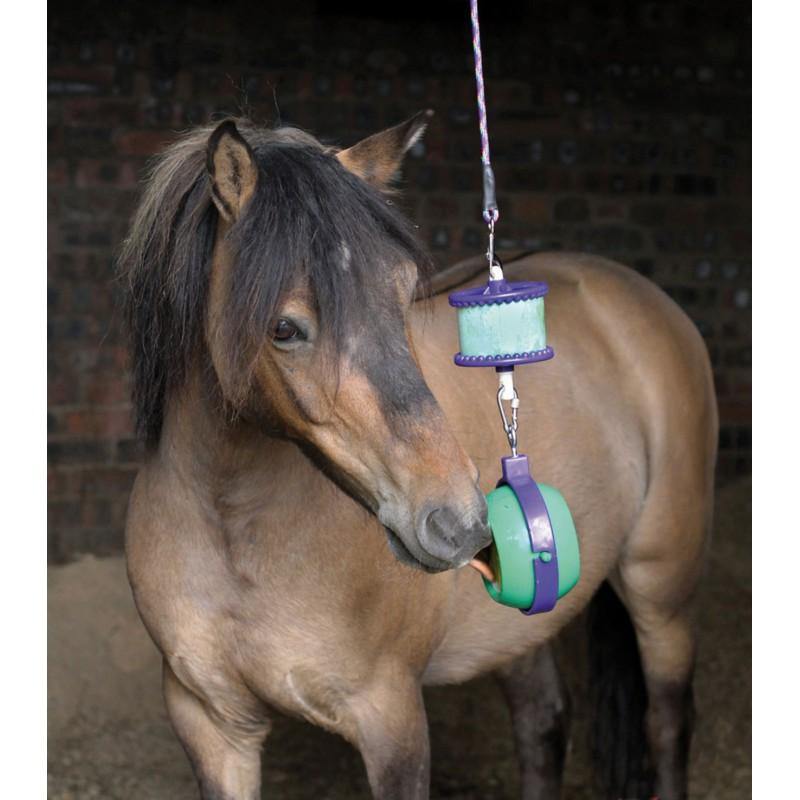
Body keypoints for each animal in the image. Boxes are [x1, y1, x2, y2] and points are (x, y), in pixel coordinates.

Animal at [119, 112, 717, 800]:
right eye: (284, 329)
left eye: (405, 296)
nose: (459, 521)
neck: (234, 533)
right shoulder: (213, 727)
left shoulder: (392, 719)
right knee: (544, 721)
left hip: (661, 590)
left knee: (667, 720)